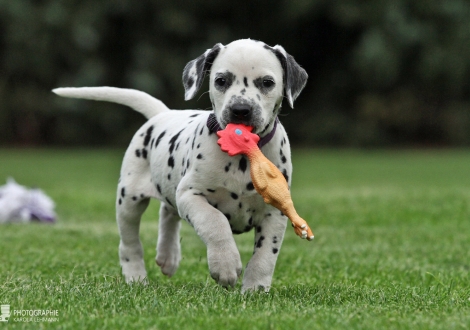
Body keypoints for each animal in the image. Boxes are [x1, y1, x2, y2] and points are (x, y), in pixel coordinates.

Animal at [53, 38, 308, 292]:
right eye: (221, 80)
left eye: (267, 83)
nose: (240, 110)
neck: (243, 156)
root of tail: (163, 114)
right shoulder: (190, 195)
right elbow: (215, 222)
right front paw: (225, 264)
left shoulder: (275, 211)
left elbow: (265, 254)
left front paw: (255, 288)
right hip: (129, 199)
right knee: (130, 242)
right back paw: (136, 276)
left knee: (167, 211)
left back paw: (168, 256)